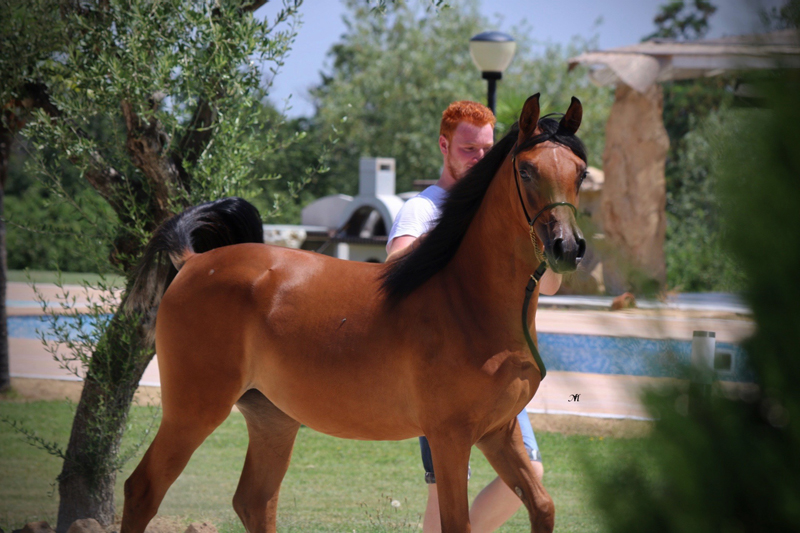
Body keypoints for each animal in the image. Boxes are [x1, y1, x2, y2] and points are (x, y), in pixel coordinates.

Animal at [120, 93, 587, 533]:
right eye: (526, 171)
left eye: (580, 172)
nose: (567, 247)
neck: (468, 301)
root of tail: (194, 261)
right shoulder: (451, 438)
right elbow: (457, 522)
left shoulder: (499, 433)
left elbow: (542, 507)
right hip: (194, 410)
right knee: (143, 489)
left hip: (273, 420)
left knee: (254, 501)